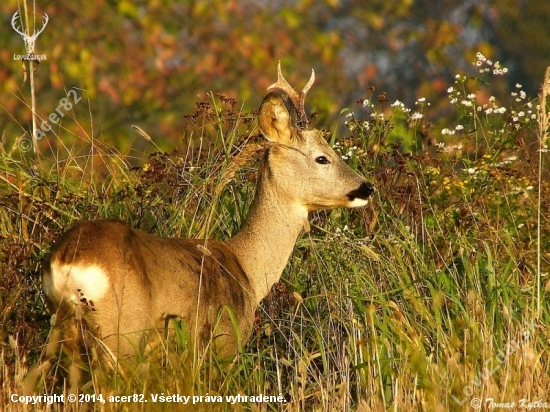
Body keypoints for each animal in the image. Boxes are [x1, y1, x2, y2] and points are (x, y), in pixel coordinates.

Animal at [42, 62, 376, 360]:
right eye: (322, 158)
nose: (367, 188)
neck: (247, 271)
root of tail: (68, 260)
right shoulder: (224, 344)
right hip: (123, 332)